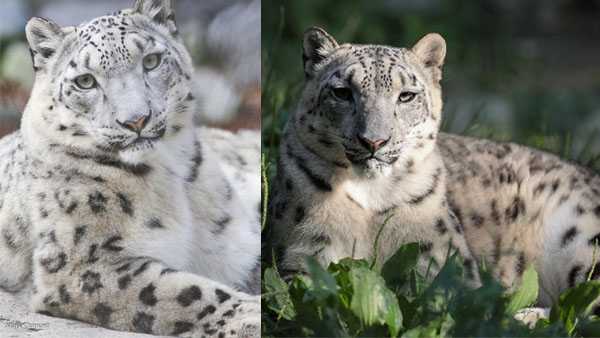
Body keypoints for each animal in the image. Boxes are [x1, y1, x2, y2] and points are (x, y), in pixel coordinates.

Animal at [0, 1, 260, 336]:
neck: (173, 180)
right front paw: (251, 315)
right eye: (85, 81)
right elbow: (186, 292)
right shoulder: (82, 265)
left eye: (151, 61)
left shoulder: (235, 245)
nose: (136, 120)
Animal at [270, 27, 600, 314]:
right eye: (341, 92)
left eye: (406, 95)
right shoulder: (305, 250)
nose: (374, 140)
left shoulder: (442, 260)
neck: (372, 197)